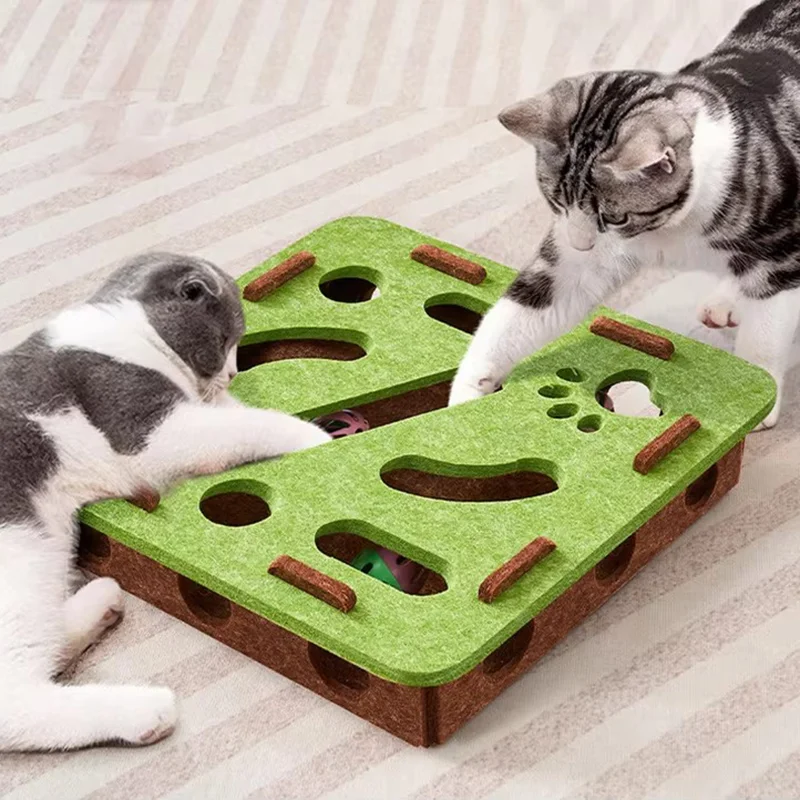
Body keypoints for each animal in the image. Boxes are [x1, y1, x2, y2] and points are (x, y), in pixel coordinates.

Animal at [0, 252, 331, 751]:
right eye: (227, 340)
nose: (233, 373)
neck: (127, 332)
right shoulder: (142, 422)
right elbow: (244, 426)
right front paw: (315, 436)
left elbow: (232, 414)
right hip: (18, 558)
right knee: (15, 702)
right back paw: (143, 711)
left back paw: (99, 602)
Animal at [450, 0, 800, 430]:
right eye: (557, 202)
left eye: (616, 217)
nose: (580, 243)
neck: (673, 229)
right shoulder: (580, 262)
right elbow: (517, 314)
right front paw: (465, 394)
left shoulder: (782, 250)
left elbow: (766, 332)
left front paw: (762, 394)